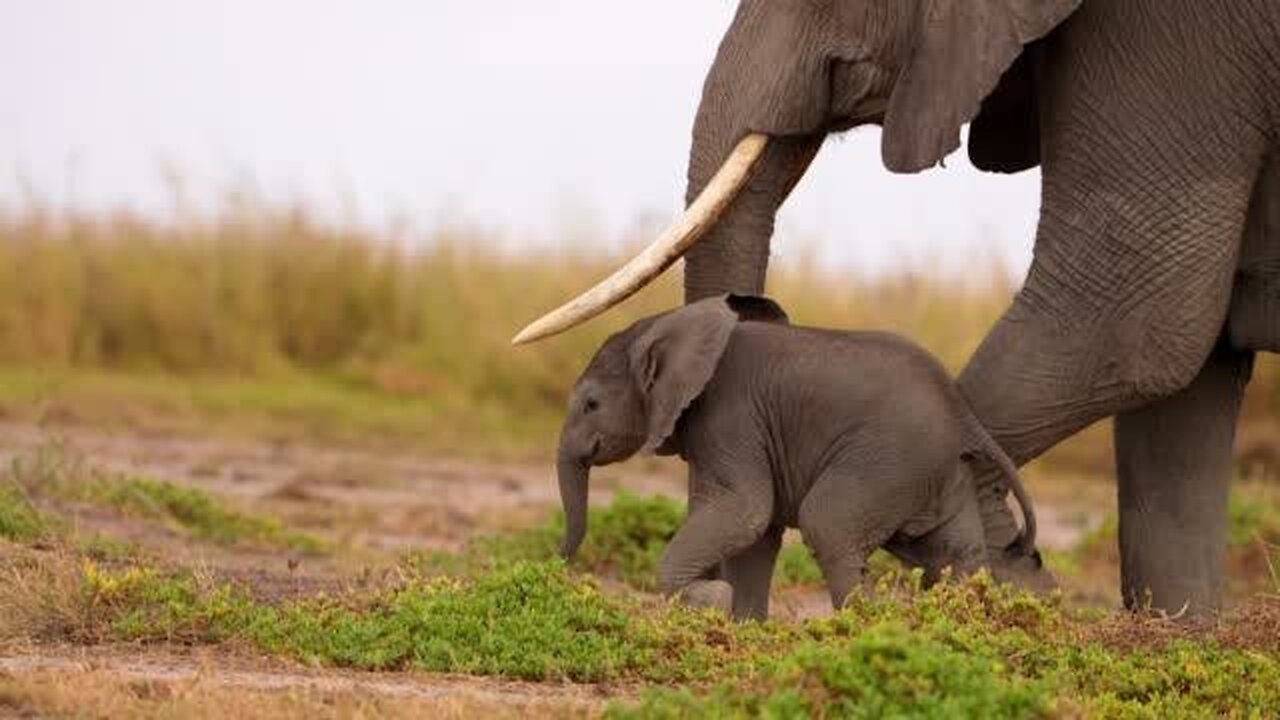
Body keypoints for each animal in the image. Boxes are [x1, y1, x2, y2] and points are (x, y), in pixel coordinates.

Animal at [555, 292, 1044, 617]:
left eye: (591, 405)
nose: (557, 564)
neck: (671, 323)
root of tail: (962, 414)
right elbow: (757, 532)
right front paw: (744, 624)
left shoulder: (730, 419)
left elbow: (745, 512)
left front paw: (711, 600)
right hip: (938, 470)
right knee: (954, 550)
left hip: (890, 460)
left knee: (828, 522)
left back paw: (866, 627)